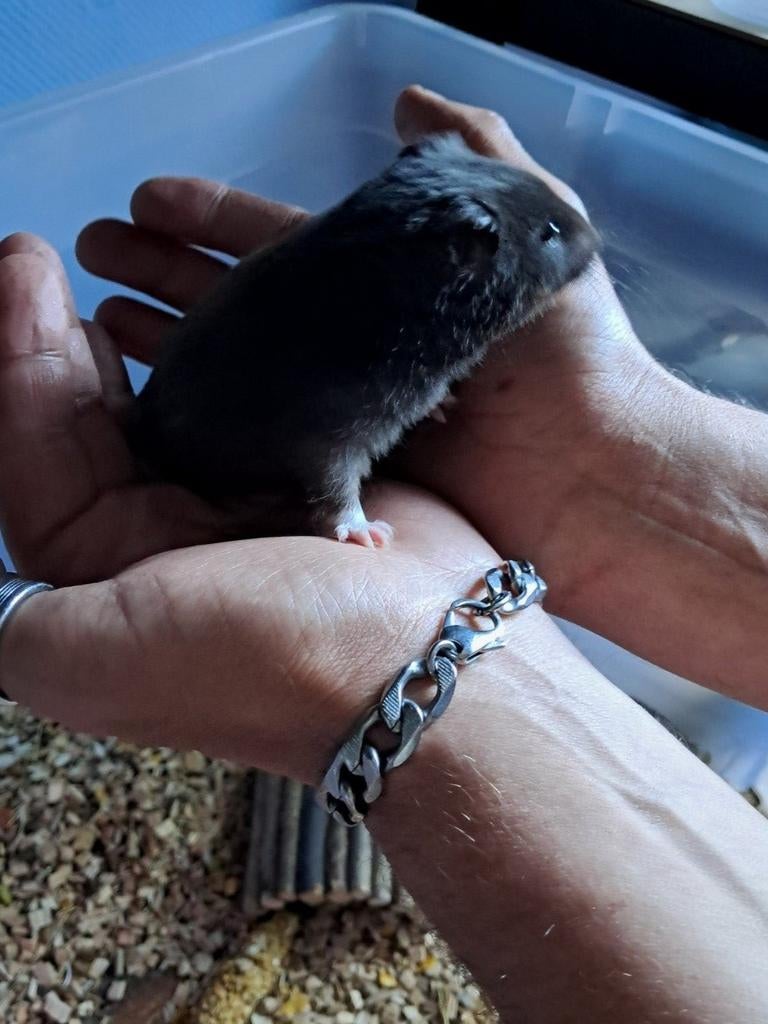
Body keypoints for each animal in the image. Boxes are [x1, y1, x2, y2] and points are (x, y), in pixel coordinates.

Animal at [128, 133, 599, 546]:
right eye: (551, 231)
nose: (598, 239)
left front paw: (445, 405)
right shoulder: (326, 436)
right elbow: (336, 485)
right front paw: (368, 534)